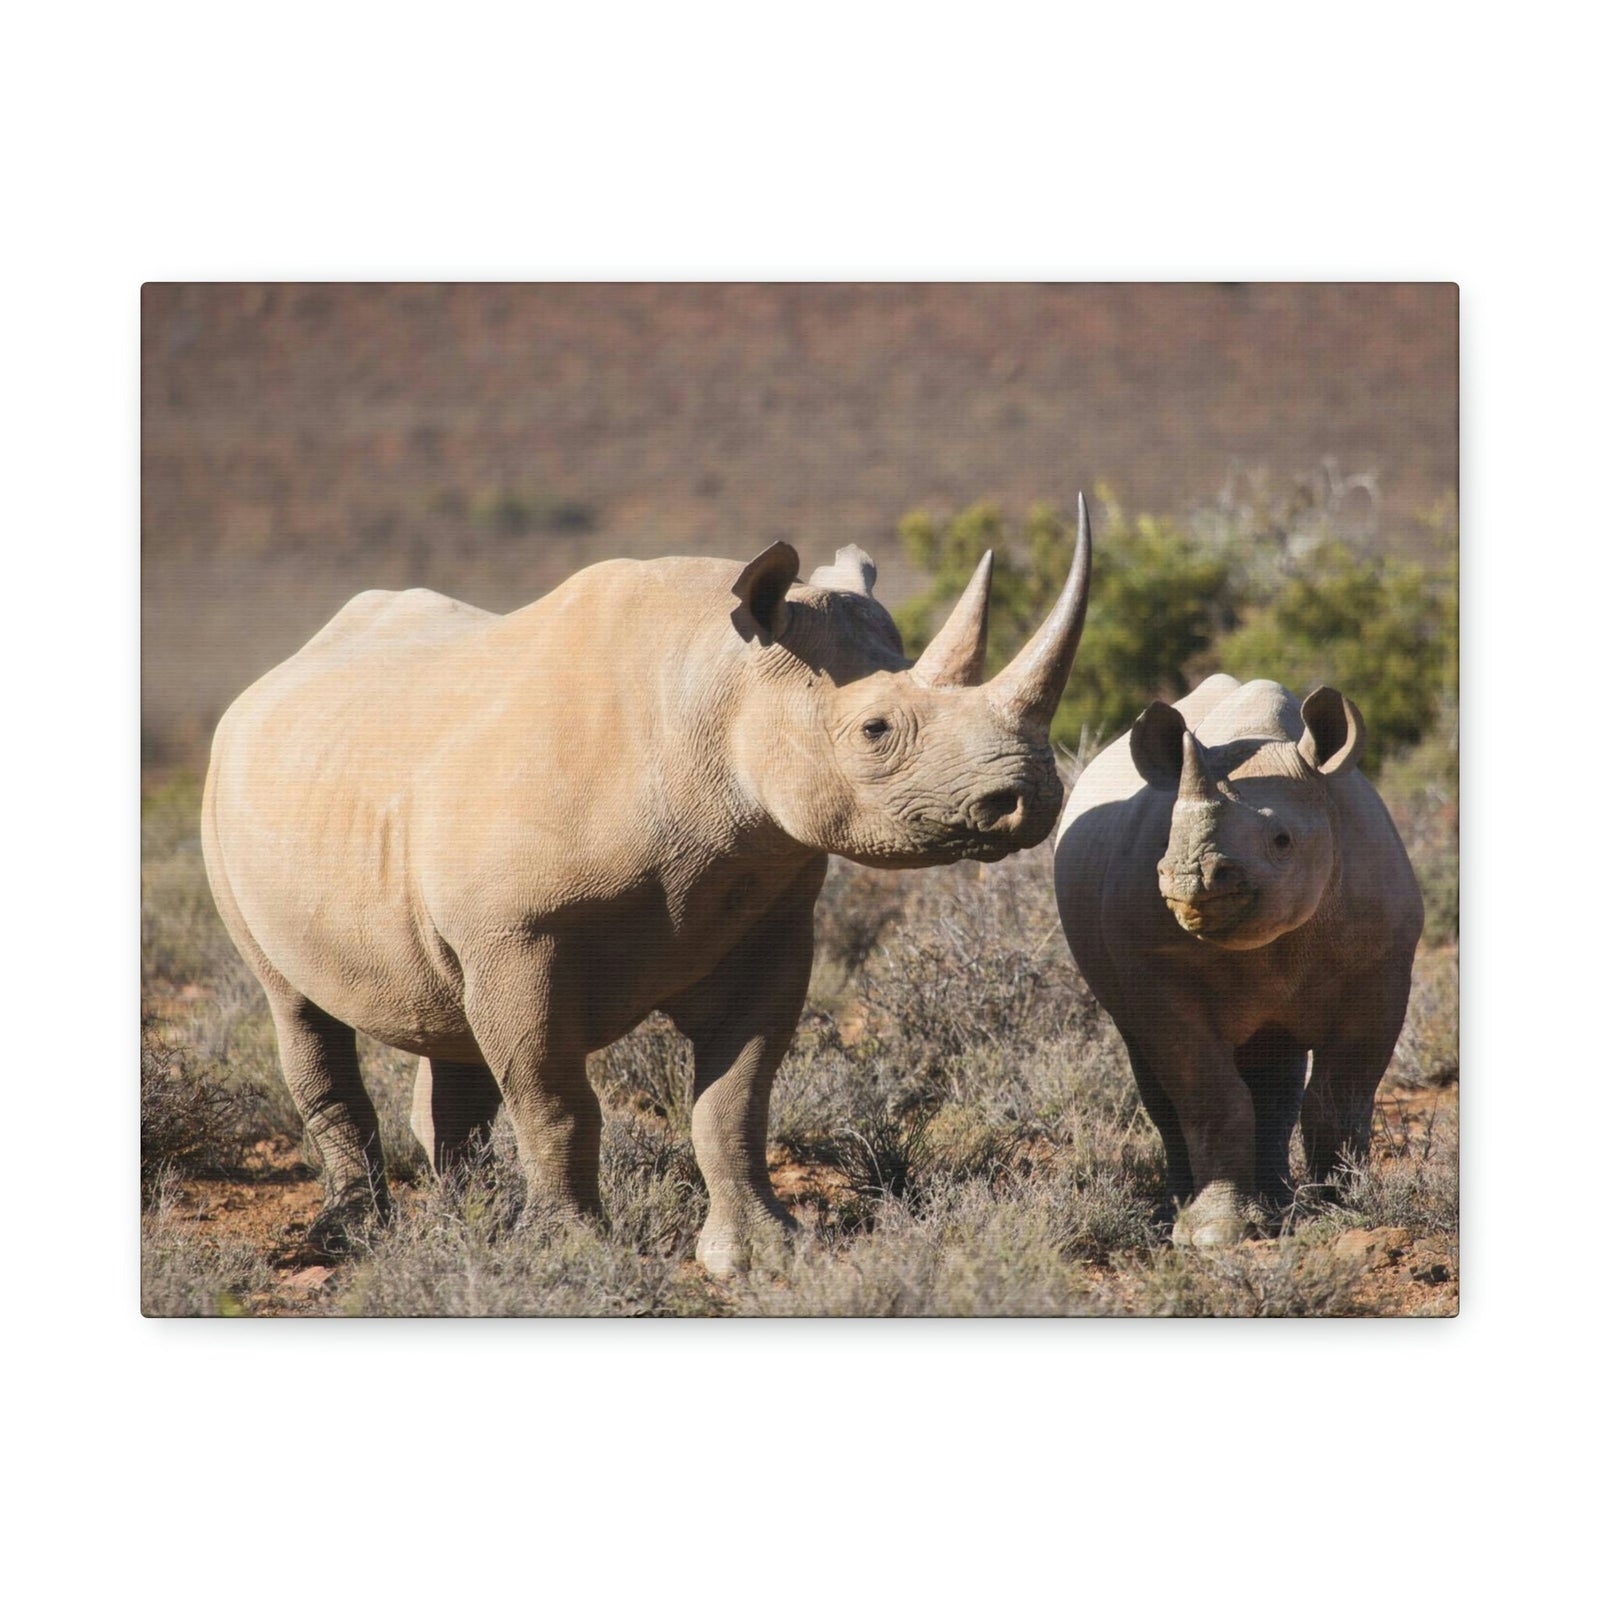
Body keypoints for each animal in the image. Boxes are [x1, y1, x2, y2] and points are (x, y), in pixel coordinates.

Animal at [203, 500, 1091, 1274]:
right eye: (875, 731)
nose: (1030, 797)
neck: (720, 691)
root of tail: (272, 678)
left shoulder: (769, 915)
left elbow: (736, 1097)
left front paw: (759, 1253)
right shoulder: (519, 936)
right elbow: (555, 1100)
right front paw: (567, 1252)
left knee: (445, 1023)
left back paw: (470, 1222)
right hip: (228, 796)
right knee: (297, 1006)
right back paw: (354, 1234)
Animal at [1053, 674, 1423, 1247]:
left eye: (1282, 841)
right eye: (1167, 838)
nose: (1189, 876)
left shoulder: (1381, 969)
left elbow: (1340, 1093)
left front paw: (1343, 1210)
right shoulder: (1155, 976)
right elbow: (1209, 1094)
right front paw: (1215, 1235)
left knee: (1276, 1069)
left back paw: (1280, 1208)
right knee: (1157, 1073)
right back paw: (1182, 1215)